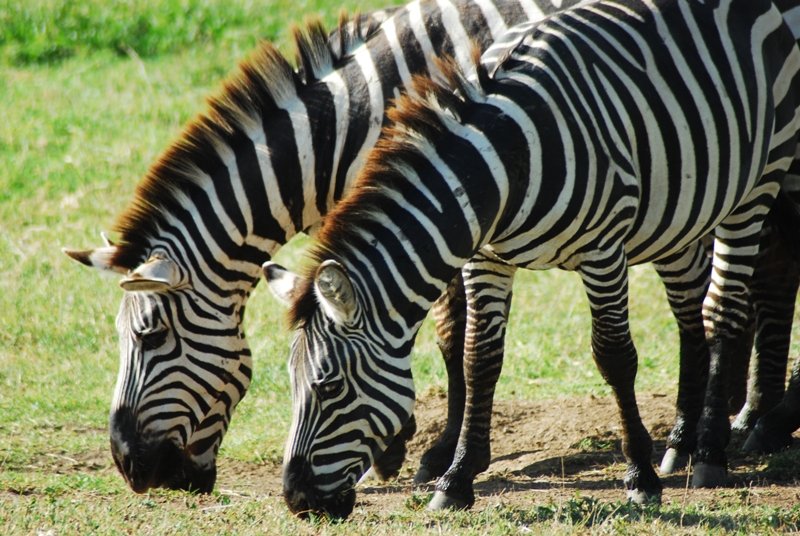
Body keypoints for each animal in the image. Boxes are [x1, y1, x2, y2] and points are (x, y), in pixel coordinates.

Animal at [61, 0, 592, 494]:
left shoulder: (442, 215)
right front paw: (402, 446)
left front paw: (432, 452)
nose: (130, 468)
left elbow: (452, 334)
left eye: (150, 336)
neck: (356, 122)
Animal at [266, 0, 800, 516]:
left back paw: (712, 450)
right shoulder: (485, 259)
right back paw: (684, 441)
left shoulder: (603, 249)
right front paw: (456, 480)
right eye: (289, 385)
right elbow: (479, 358)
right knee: (692, 310)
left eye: (329, 387)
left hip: (758, 183)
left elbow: (614, 356)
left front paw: (640, 478)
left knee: (724, 309)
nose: (296, 500)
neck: (504, 165)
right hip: (679, 209)